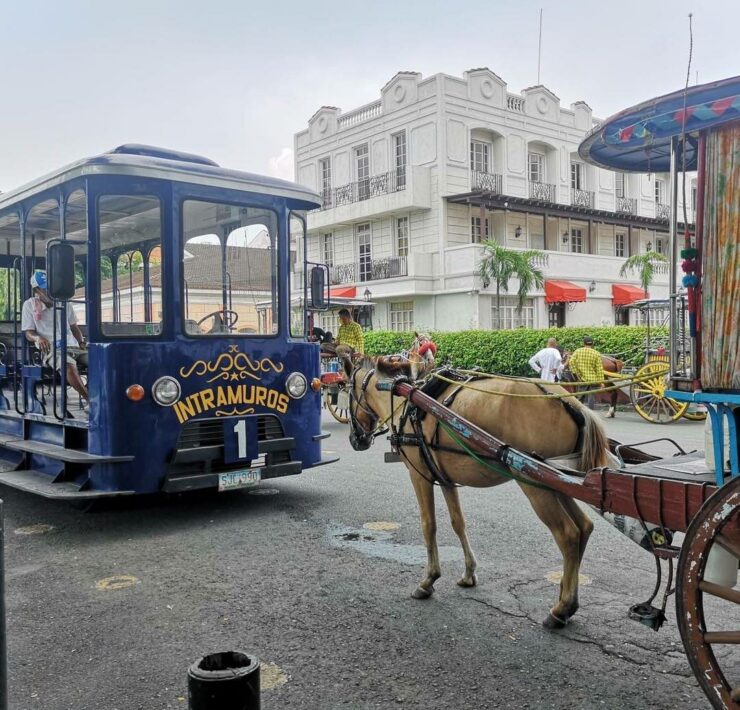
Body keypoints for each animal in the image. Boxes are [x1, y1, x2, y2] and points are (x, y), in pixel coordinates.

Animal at [344, 354, 608, 628]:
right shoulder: (445, 479)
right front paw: (469, 572)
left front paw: (429, 580)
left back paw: (561, 608)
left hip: (535, 482)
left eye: (347, 391)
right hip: (556, 481)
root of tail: (570, 402)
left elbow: (429, 525)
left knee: (568, 534)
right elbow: (458, 522)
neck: (404, 398)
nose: (356, 440)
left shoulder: (419, 476)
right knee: (583, 527)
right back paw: (568, 597)